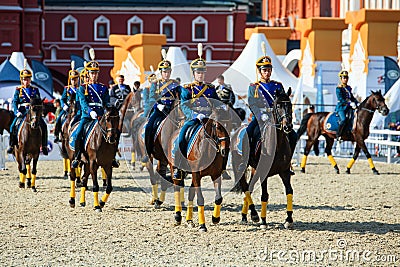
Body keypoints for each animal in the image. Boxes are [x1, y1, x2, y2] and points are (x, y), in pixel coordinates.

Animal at [231, 88, 294, 230]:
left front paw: (289, 219)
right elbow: (264, 195)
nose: (287, 126)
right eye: (278, 106)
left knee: (249, 187)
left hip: (255, 170)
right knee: (245, 187)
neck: (277, 145)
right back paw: (254, 215)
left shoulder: (285, 172)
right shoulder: (264, 173)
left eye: (290, 105)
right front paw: (264, 222)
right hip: (241, 168)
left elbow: (289, 191)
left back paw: (245, 216)